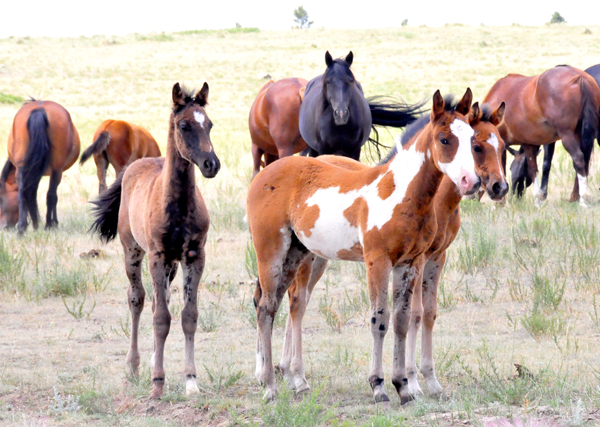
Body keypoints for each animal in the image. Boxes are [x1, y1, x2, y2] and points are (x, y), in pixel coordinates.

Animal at [0, 99, 80, 236]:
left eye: (0, 199)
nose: (2, 227)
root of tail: (39, 109)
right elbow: (51, 196)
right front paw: (50, 223)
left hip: (22, 169)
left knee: (22, 194)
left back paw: (22, 227)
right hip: (56, 170)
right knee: (51, 195)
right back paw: (48, 225)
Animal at [88, 84, 219, 402]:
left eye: (209, 124)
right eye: (183, 125)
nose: (211, 164)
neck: (178, 205)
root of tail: (132, 168)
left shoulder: (194, 256)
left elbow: (187, 315)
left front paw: (190, 380)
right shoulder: (156, 256)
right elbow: (161, 319)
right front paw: (157, 383)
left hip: (171, 264)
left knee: (162, 300)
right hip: (134, 252)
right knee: (137, 299)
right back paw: (134, 366)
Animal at [246, 89, 480, 404]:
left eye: (472, 140)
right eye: (444, 139)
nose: (471, 181)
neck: (401, 194)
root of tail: (262, 175)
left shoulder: (410, 263)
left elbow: (402, 320)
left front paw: (403, 387)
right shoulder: (378, 262)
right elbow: (379, 319)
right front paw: (379, 386)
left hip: (296, 254)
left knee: (279, 303)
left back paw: (281, 379)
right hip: (271, 252)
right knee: (267, 307)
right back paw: (270, 387)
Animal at [482, 65, 600, 207]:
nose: (513, 197)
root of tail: (580, 78)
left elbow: (504, 167)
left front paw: (501, 202)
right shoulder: (531, 142)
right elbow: (536, 167)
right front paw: (539, 198)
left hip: (568, 136)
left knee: (579, 159)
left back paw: (583, 200)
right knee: (585, 161)